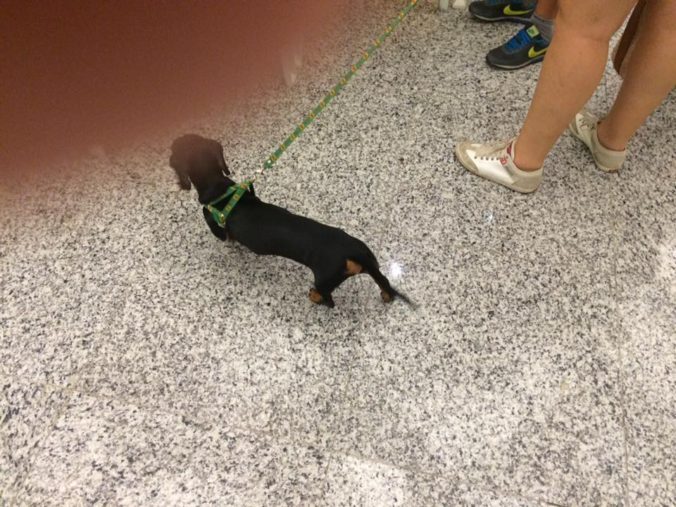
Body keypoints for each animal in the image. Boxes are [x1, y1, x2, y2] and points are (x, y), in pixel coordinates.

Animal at [169, 134, 412, 308]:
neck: (218, 187)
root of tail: (352, 252)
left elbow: (224, 235)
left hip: (324, 279)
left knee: (327, 300)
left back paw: (313, 296)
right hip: (370, 264)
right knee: (385, 283)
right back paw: (386, 296)